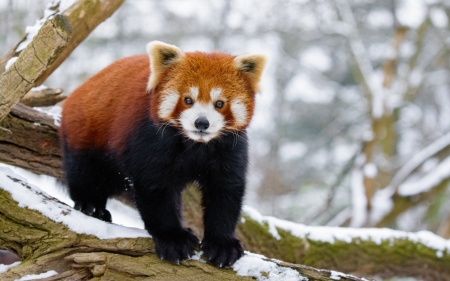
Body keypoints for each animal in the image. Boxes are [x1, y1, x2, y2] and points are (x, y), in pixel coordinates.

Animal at [58, 41, 266, 266]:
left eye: (219, 103)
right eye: (188, 100)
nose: (201, 123)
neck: (197, 145)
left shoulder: (230, 148)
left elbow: (225, 190)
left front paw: (222, 244)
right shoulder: (150, 138)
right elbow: (155, 188)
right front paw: (173, 238)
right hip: (88, 135)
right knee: (85, 173)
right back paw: (91, 205)